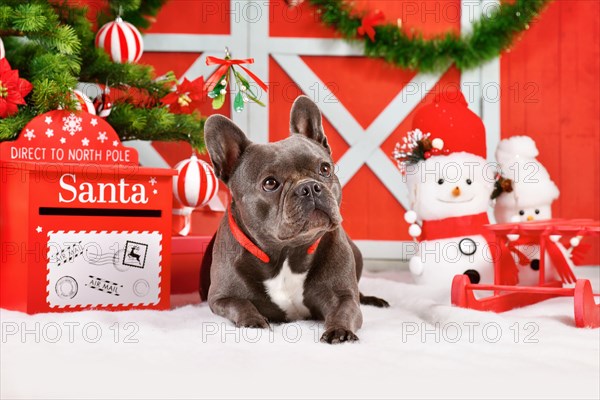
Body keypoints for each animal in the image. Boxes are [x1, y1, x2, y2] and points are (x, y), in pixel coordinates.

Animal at [202, 95, 390, 342]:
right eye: (270, 183)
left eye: (325, 169)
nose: (309, 187)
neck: (287, 252)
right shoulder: (221, 298)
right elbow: (241, 304)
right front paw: (254, 323)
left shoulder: (343, 297)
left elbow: (344, 310)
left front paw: (339, 331)